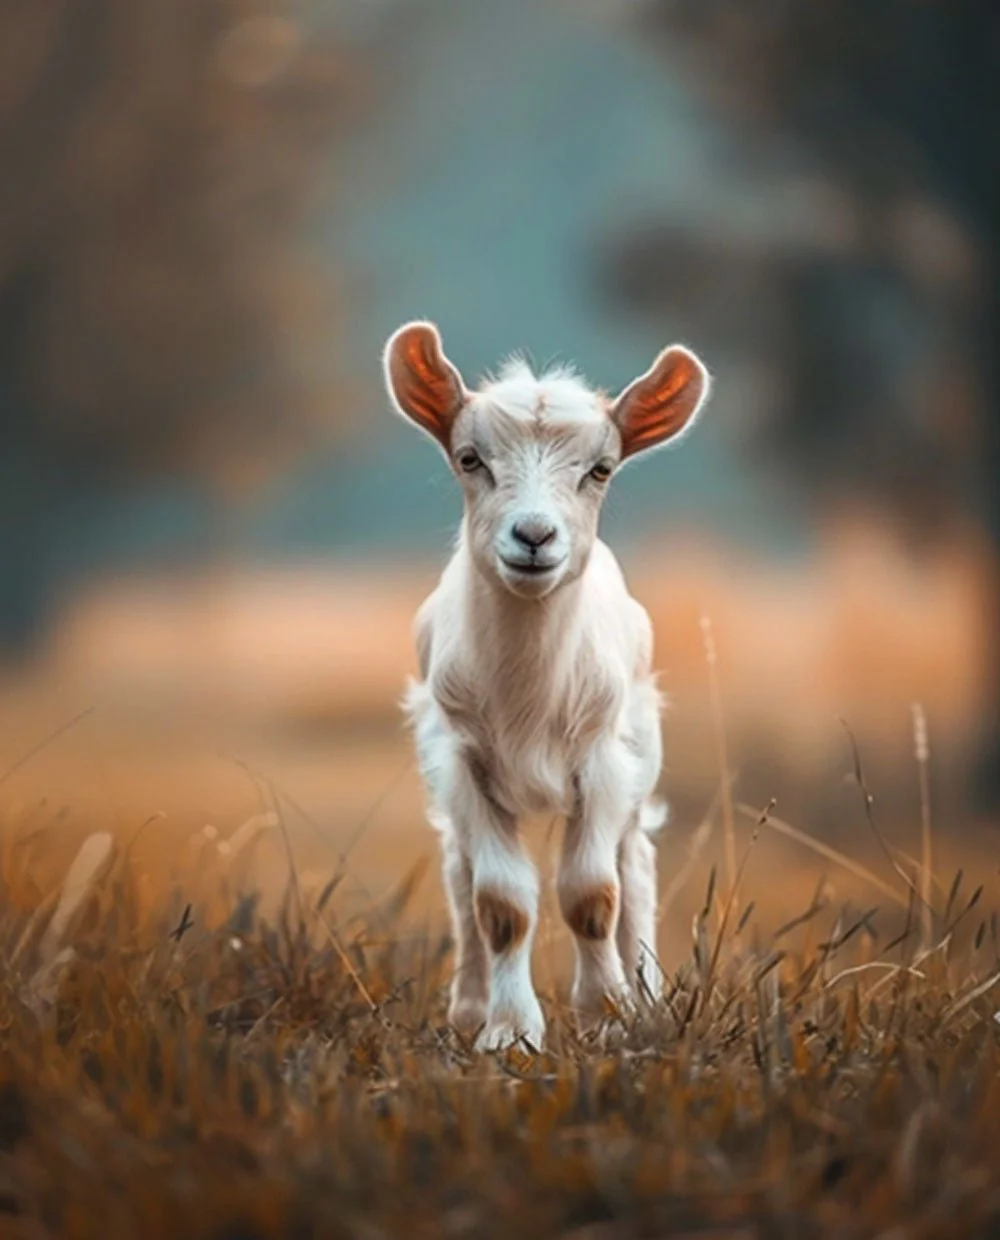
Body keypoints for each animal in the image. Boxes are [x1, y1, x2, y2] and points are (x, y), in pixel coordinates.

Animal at [383, 321, 710, 1050]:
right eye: (470, 459)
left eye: (601, 469)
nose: (533, 535)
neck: (527, 695)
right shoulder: (462, 759)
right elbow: (500, 902)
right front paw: (507, 1030)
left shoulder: (603, 756)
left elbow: (593, 894)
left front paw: (610, 1014)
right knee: (459, 872)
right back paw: (470, 1005)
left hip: (639, 757)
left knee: (633, 866)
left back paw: (647, 994)